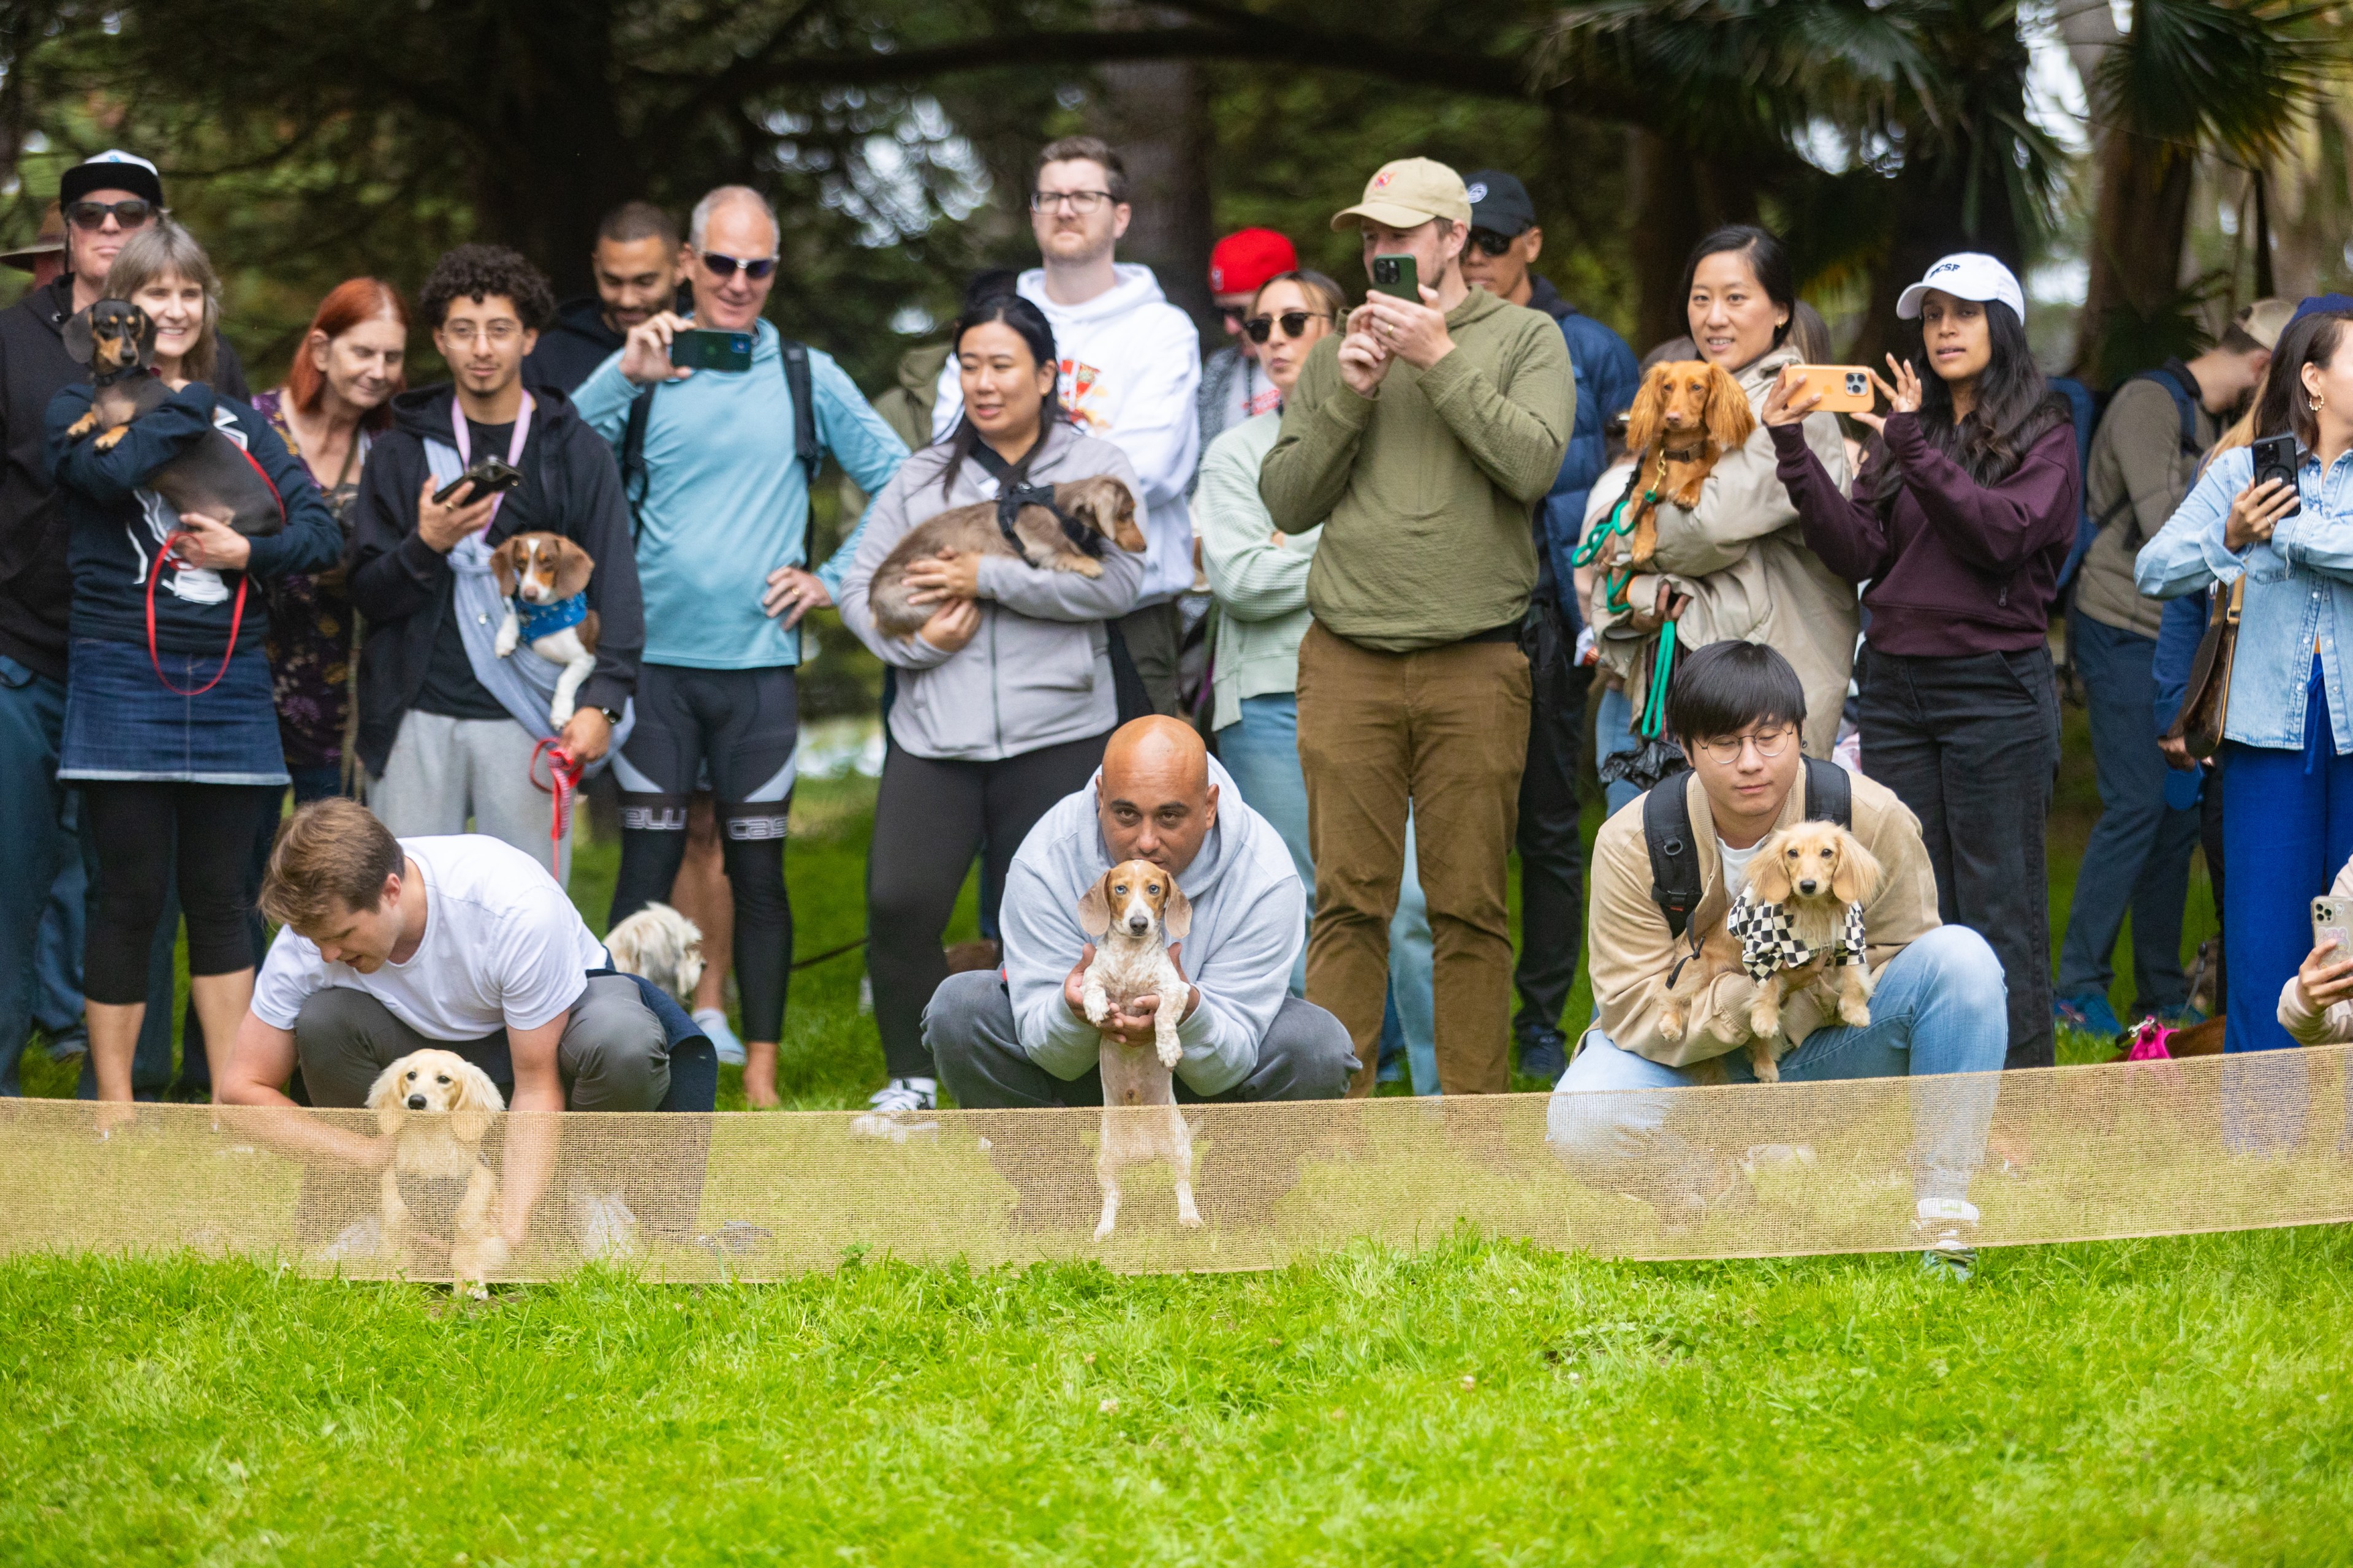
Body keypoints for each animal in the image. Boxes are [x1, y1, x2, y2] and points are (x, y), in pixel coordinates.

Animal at [365, 1045, 508, 1290]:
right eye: (411, 1075)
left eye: (444, 1079)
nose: (416, 1101)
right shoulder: (396, 1225)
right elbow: (398, 1263)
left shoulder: (473, 1227)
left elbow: (465, 1258)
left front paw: (469, 1288)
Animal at [489, 525, 602, 720]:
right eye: (520, 561)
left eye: (548, 560)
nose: (529, 594)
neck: (545, 614)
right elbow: (515, 610)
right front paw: (505, 638)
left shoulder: (586, 659)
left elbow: (565, 680)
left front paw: (561, 712)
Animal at [1077, 857, 1205, 1233]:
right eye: (1120, 889)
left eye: (1154, 889)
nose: (1138, 923)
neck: (1130, 960)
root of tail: (1143, 1152)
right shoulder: (1093, 975)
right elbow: (1093, 986)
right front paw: (1096, 1007)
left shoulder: (1174, 991)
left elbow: (1162, 1016)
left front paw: (1167, 1048)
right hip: (1105, 1161)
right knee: (1112, 1197)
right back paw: (1104, 1231)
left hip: (1180, 1150)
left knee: (1182, 1185)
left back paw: (1189, 1217)